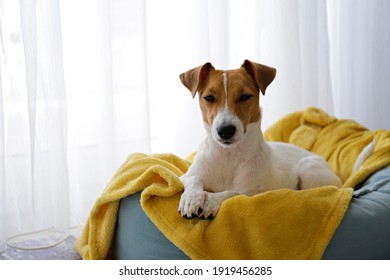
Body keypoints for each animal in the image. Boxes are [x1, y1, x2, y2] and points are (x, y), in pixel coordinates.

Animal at [177, 60, 342, 220]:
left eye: (245, 96)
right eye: (209, 98)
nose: (226, 130)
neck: (229, 156)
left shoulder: (252, 194)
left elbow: (232, 192)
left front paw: (211, 200)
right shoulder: (184, 176)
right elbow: (193, 179)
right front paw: (191, 199)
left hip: (308, 169)